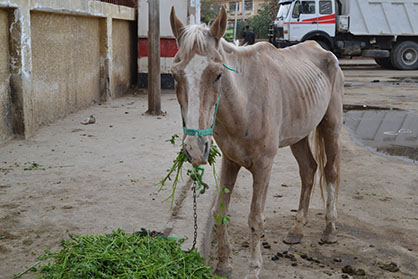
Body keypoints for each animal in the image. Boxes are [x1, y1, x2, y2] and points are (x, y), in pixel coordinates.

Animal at [169, 6, 342, 279]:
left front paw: (253, 268)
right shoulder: (230, 162)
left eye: (218, 74)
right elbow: (219, 212)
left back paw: (330, 229)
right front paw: (224, 264)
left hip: (331, 126)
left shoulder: (263, 167)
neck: (246, 102)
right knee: (309, 170)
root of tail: (326, 53)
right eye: (174, 75)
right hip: (299, 136)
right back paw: (296, 230)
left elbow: (255, 219)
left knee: (331, 172)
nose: (194, 149)